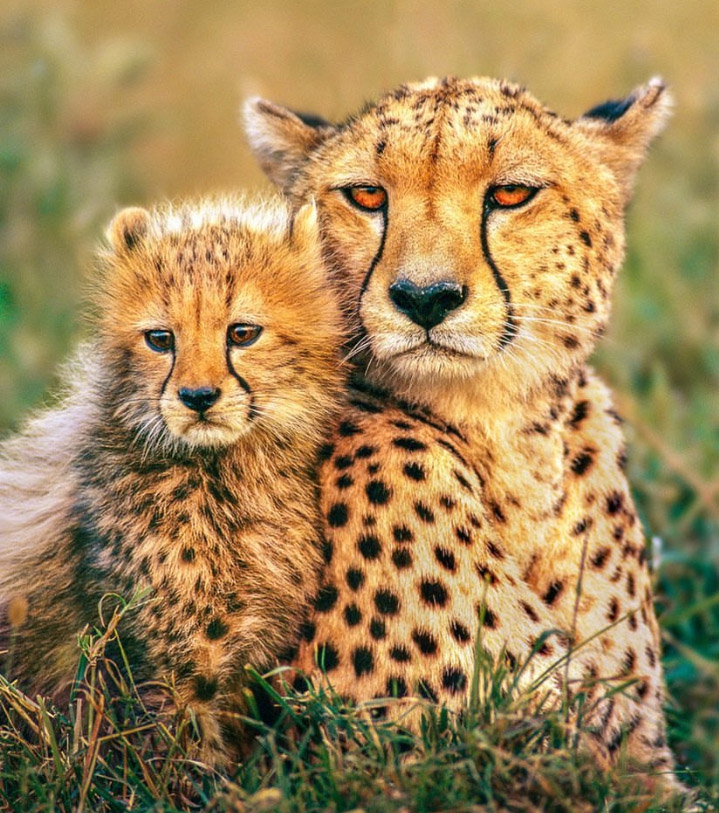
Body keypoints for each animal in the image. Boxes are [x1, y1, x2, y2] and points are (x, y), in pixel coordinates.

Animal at [0, 194, 344, 764]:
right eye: (160, 339)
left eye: (242, 333)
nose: (198, 397)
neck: (223, 478)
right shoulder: (172, 674)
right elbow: (185, 762)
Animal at [244, 75, 680, 785]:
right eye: (366, 195)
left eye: (511, 193)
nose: (425, 297)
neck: (502, 438)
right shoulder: (416, 762)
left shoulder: (636, 764)